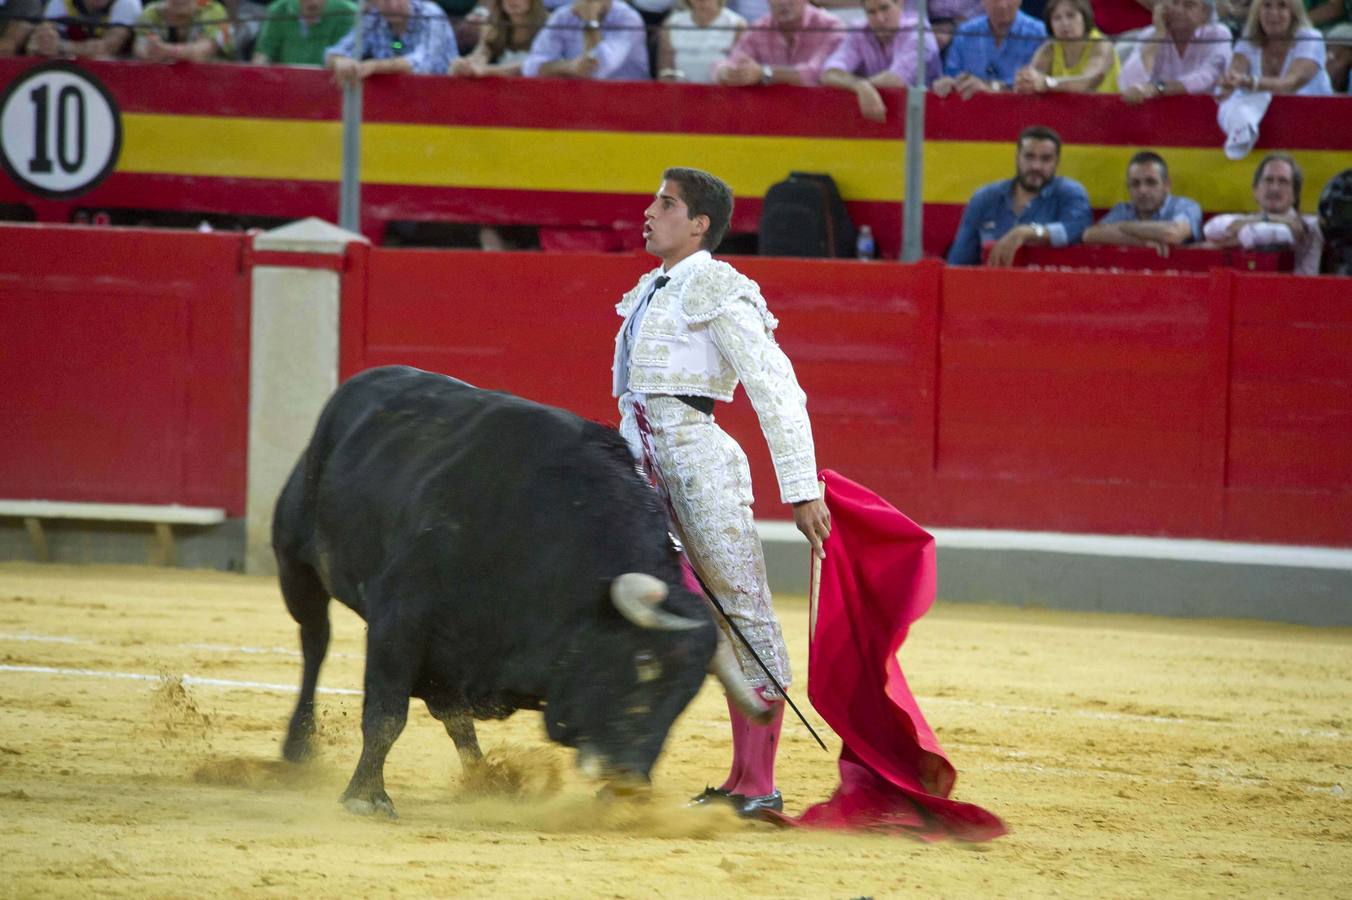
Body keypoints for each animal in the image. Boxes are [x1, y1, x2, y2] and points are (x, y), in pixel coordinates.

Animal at [274, 362, 767, 810]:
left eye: (688, 696)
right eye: (642, 663)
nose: (630, 781)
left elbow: (447, 712)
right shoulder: (399, 623)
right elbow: (386, 715)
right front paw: (366, 798)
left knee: (449, 712)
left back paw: (486, 781)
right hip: (295, 565)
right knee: (315, 642)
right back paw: (298, 746)